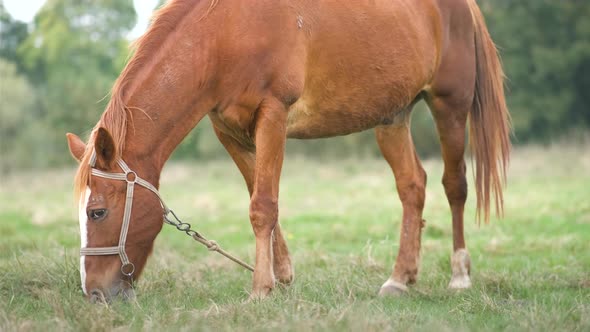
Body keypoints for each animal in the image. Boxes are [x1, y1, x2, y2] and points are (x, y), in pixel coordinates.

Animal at [67, 0, 512, 300]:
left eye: (97, 212)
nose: (94, 292)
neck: (224, 34)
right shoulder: (229, 131)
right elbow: (259, 198)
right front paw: (281, 277)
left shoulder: (273, 115)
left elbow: (263, 205)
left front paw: (260, 288)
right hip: (392, 117)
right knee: (412, 186)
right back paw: (399, 279)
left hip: (449, 106)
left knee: (454, 185)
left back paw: (459, 275)